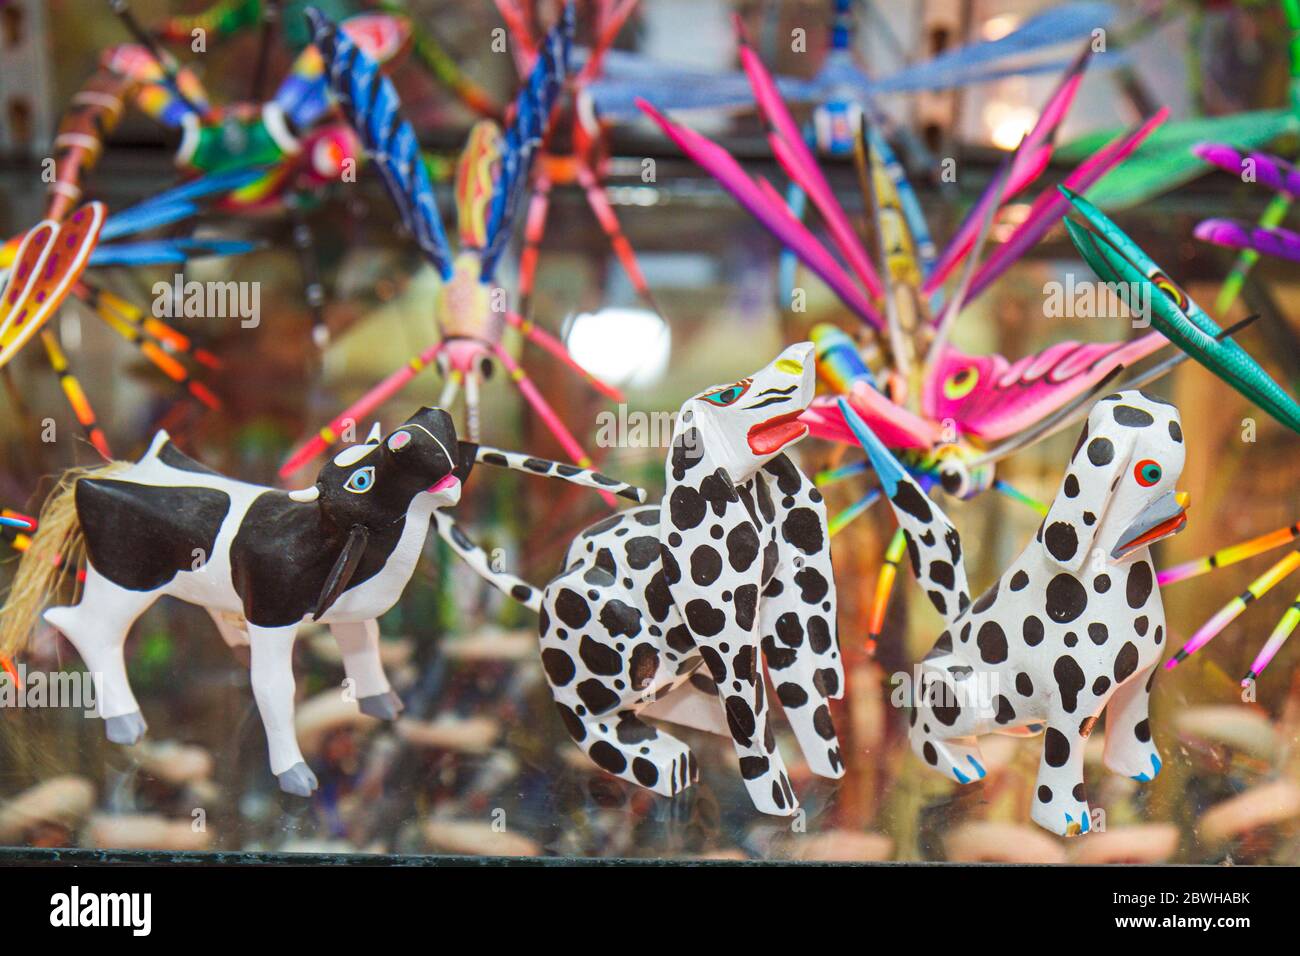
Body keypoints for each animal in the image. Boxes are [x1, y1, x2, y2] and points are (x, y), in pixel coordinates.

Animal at [34, 408, 634, 796]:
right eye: (362, 478)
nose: (423, 424)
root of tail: (106, 475)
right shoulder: (273, 616)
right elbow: (275, 688)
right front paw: (294, 774)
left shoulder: (351, 612)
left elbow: (365, 649)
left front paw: (382, 705)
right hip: (123, 582)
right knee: (85, 628)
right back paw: (124, 720)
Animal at [535, 343, 847, 816]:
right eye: (729, 393)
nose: (803, 353)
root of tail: (556, 573)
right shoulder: (732, 651)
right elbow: (754, 725)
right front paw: (777, 799)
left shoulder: (783, 622)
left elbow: (808, 701)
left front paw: (830, 766)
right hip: (619, 638)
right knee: (584, 716)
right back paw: (659, 757)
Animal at [842, 390, 1190, 837]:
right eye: (1149, 473)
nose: (1179, 510)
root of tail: (952, 624)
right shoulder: (1071, 711)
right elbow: (1061, 765)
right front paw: (1063, 817)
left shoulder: (1138, 683)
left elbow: (1133, 730)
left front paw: (1138, 767)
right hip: (964, 695)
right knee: (921, 732)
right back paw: (958, 763)